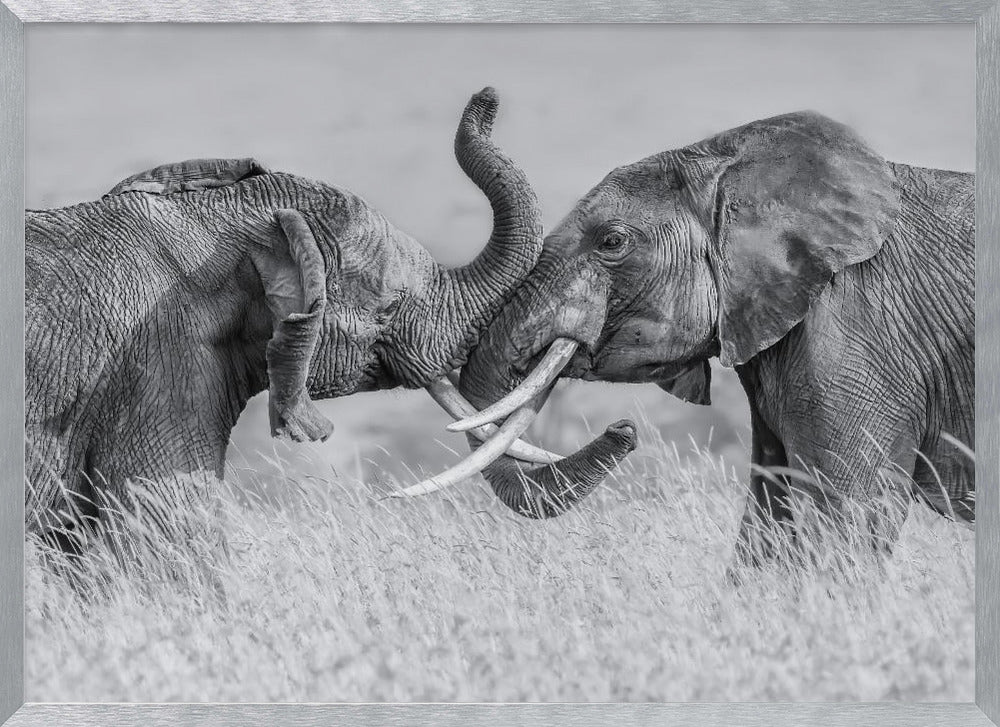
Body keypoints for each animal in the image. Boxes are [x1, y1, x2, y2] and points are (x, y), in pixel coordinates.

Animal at [416, 110, 974, 558]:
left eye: (611, 242)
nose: (624, 429)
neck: (734, 165)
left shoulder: (857, 329)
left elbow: (845, 518)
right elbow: (768, 518)